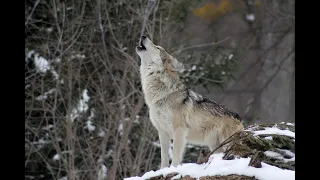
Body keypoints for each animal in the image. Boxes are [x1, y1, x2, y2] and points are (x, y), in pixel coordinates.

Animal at [136, 35, 244, 169]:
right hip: (215, 145)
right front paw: (163, 170)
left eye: (157, 47)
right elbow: (164, 158)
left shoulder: (179, 130)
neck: (162, 95)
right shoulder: (162, 132)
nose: (143, 36)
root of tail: (238, 117)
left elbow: (175, 156)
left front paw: (173, 169)